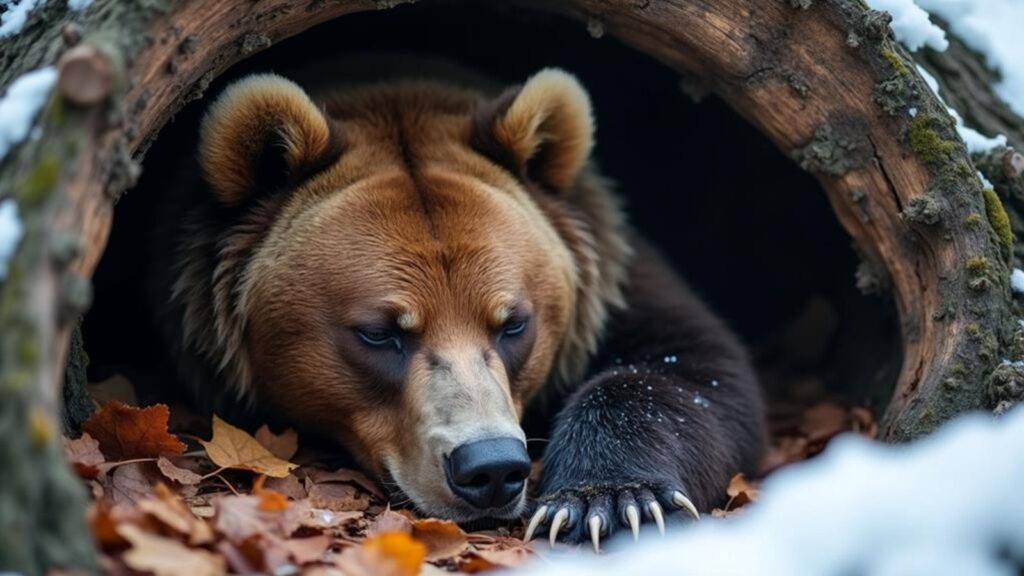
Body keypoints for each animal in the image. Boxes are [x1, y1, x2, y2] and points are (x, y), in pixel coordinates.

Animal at [154, 60, 765, 549]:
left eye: (513, 323)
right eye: (379, 332)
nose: (490, 469)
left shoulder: (612, 270)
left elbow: (692, 368)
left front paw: (610, 502)